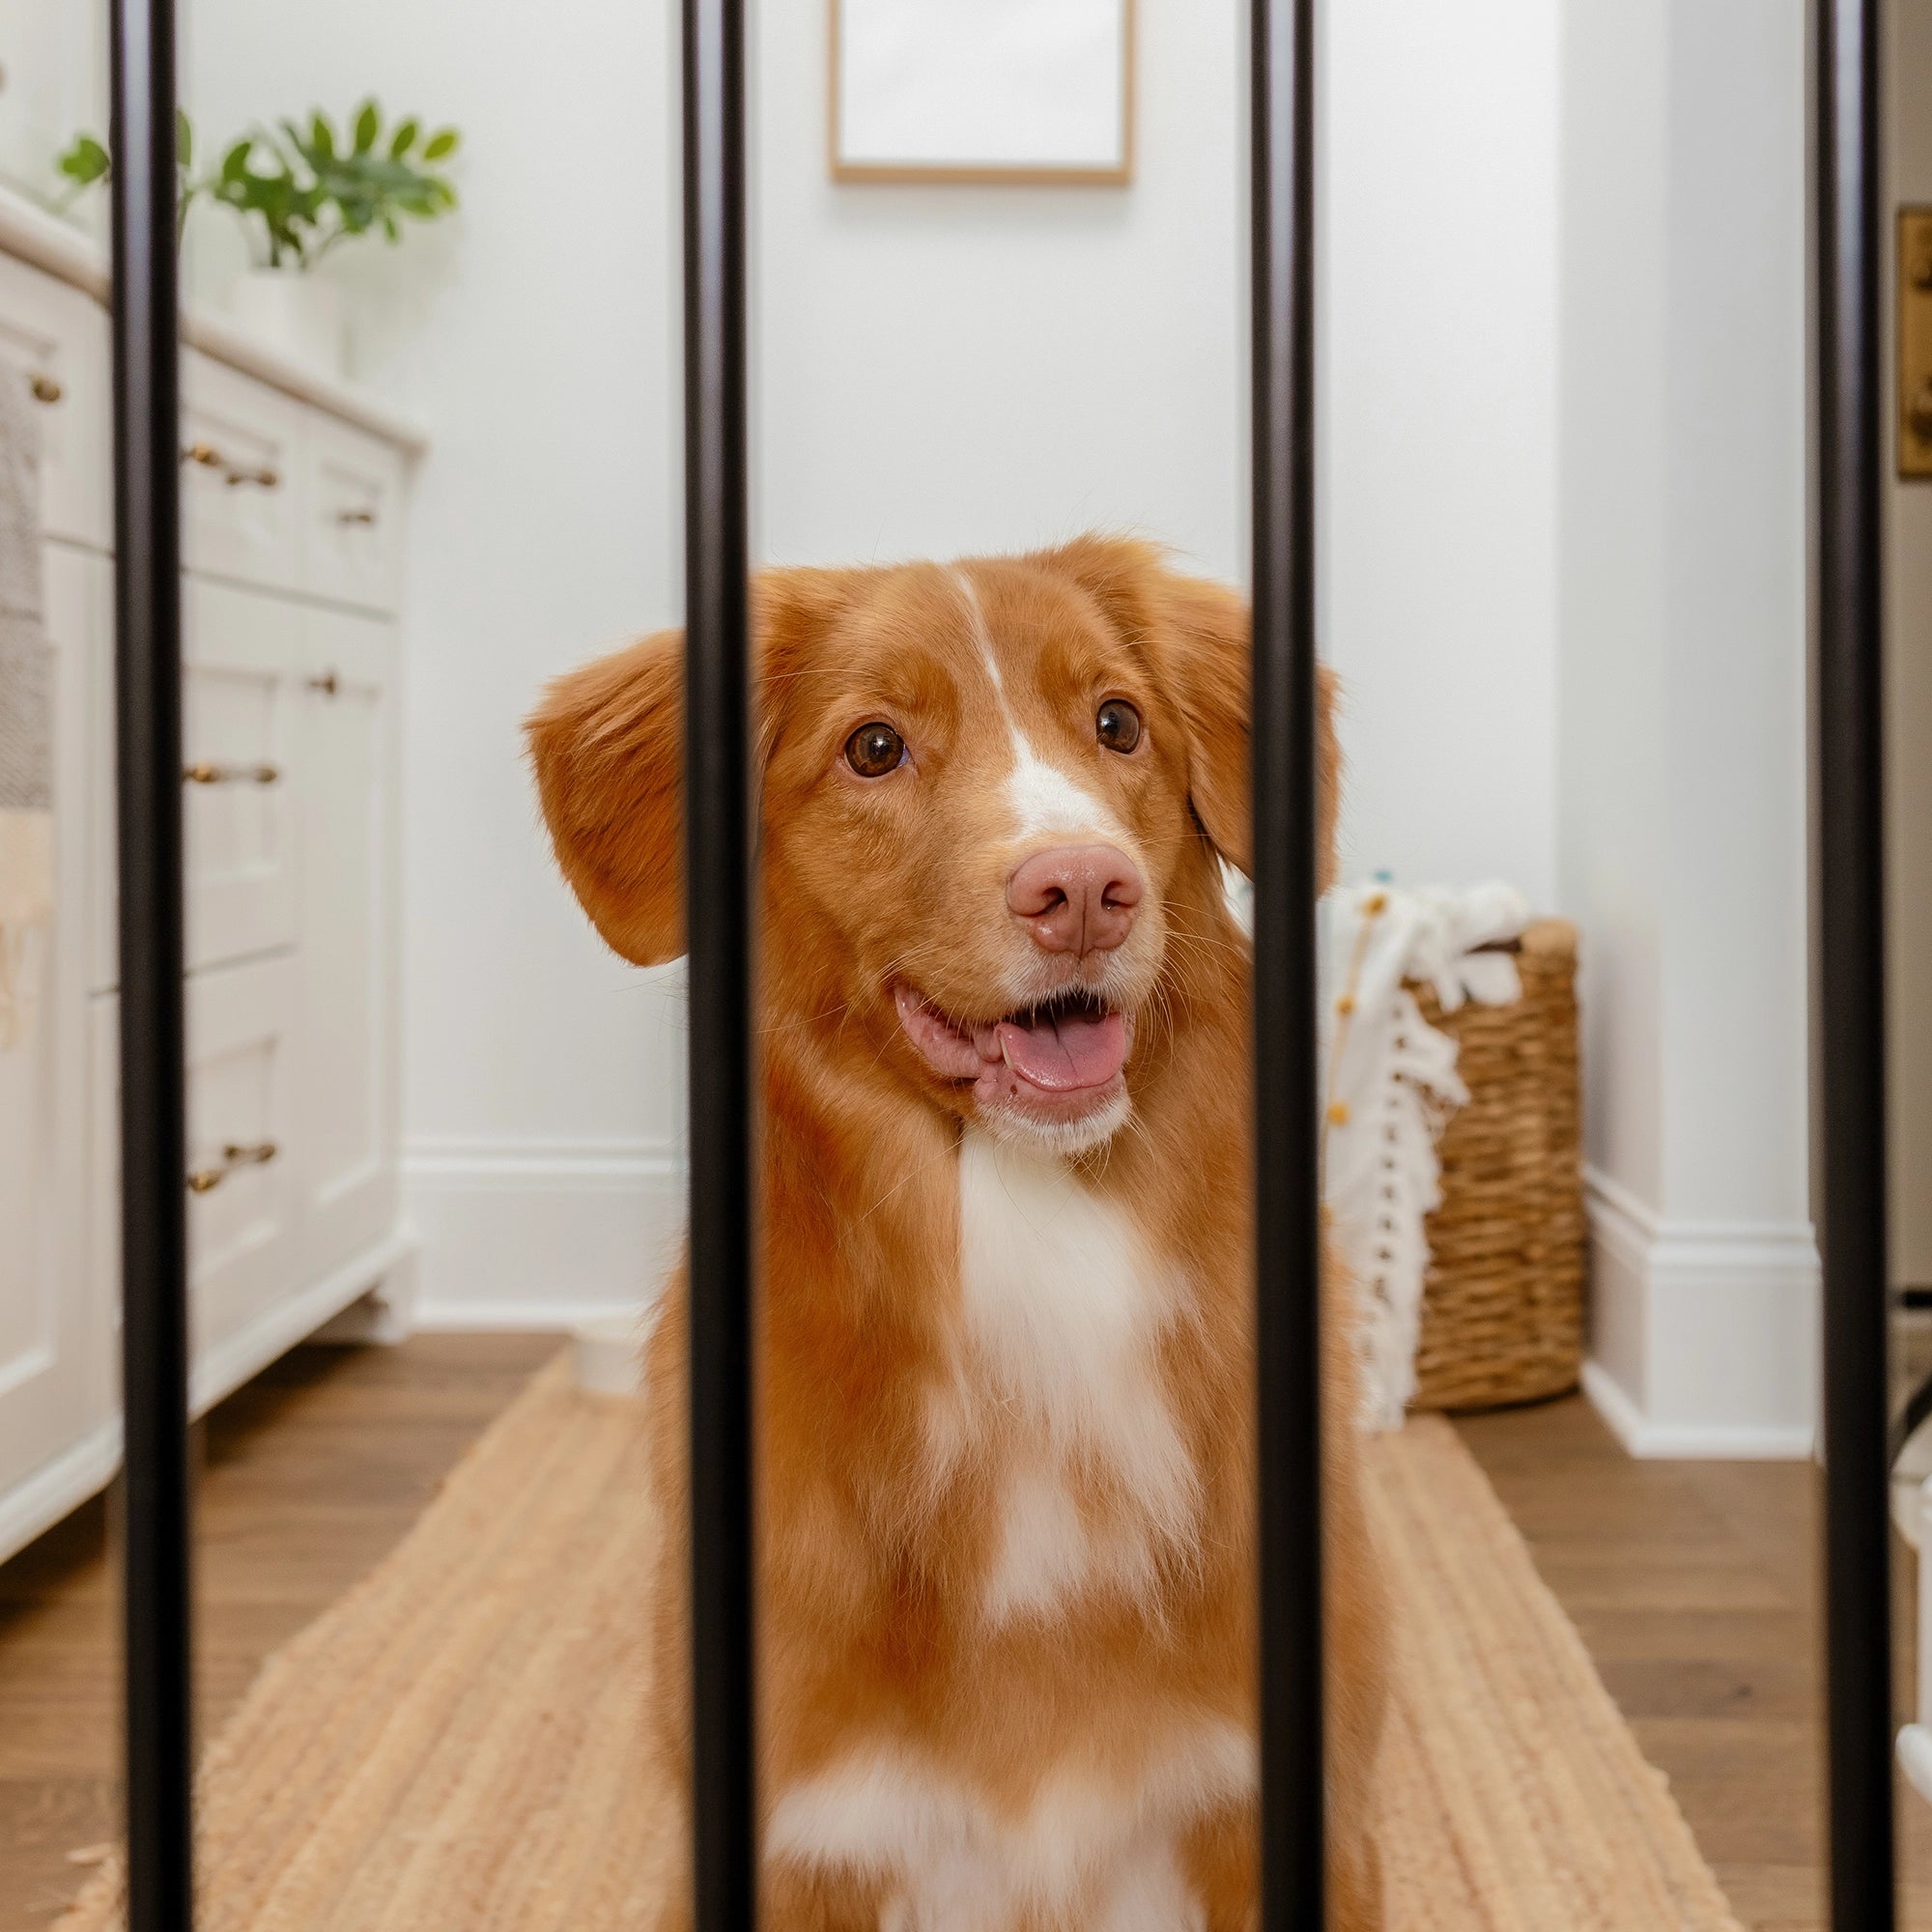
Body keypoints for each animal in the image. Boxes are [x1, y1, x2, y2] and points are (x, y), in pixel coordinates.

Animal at [529, 533, 1391, 1932]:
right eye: (874, 748)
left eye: (1117, 723)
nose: (1085, 889)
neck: (1027, 1238)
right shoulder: (797, 1843)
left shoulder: (1301, 1818)